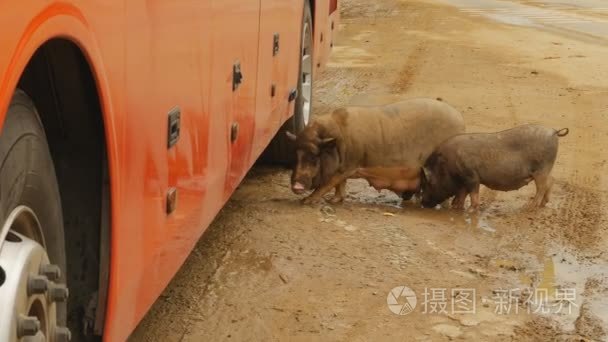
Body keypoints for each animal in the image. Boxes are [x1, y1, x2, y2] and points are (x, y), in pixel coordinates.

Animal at [284, 97, 466, 204]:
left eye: (314, 157)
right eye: (296, 155)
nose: (296, 186)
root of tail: (461, 120)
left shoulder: (350, 164)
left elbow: (328, 183)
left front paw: (306, 202)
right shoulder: (345, 167)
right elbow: (340, 185)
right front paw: (334, 201)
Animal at [420, 124, 568, 210]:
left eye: (426, 184)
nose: (423, 203)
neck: (446, 165)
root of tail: (554, 131)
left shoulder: (471, 176)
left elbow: (473, 195)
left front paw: (471, 210)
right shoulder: (465, 180)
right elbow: (461, 195)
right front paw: (456, 208)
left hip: (541, 169)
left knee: (542, 186)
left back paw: (529, 207)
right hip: (545, 170)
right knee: (551, 181)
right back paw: (542, 204)